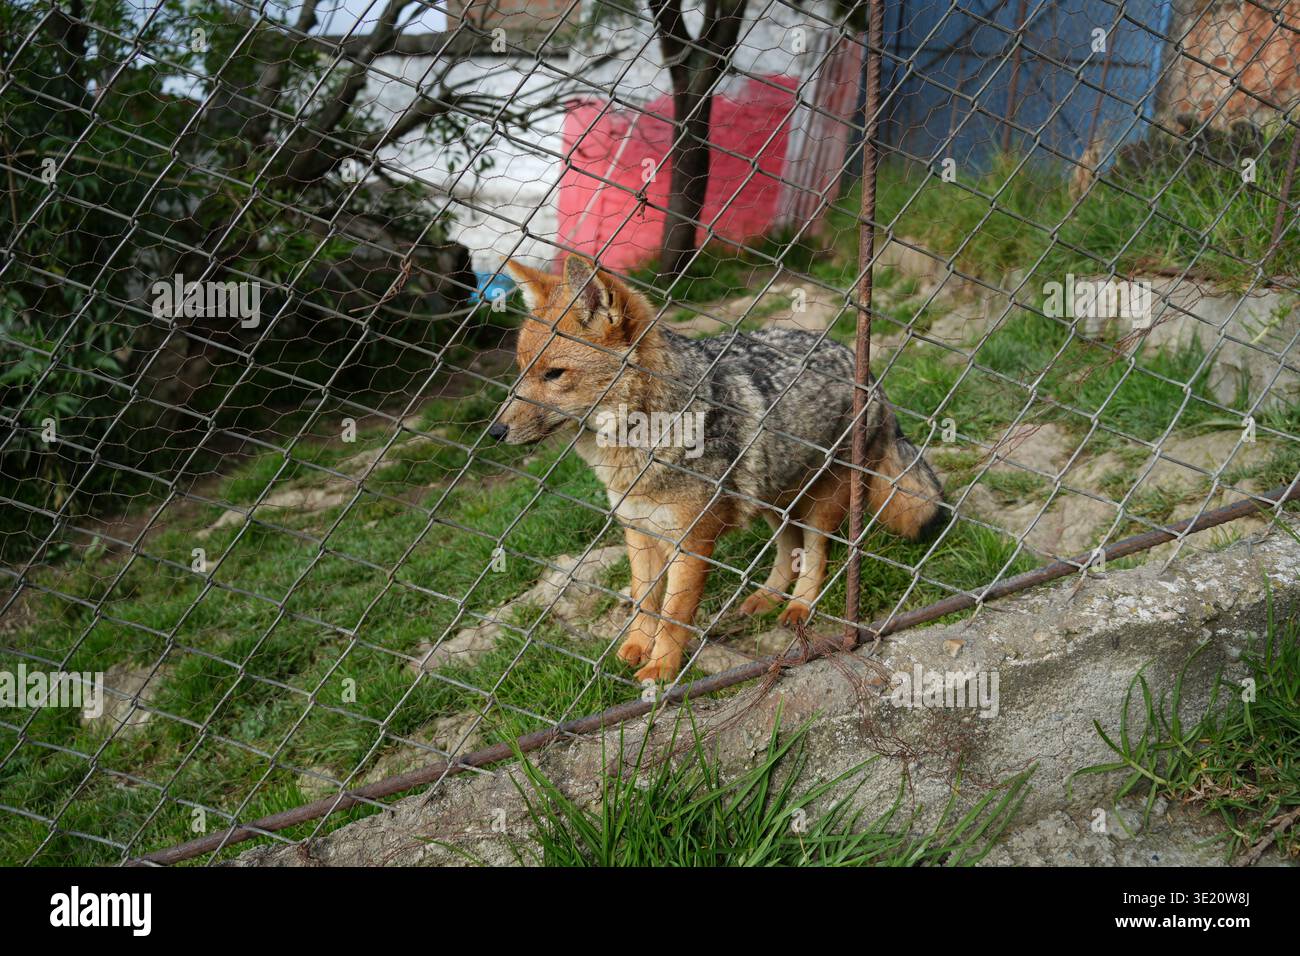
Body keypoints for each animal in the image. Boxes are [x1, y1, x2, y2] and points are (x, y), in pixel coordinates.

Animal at [489, 254, 946, 683]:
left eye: (554, 374)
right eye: (522, 371)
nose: (495, 430)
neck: (636, 453)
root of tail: (862, 364)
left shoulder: (691, 543)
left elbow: (673, 614)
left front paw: (660, 671)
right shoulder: (639, 532)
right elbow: (644, 602)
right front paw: (635, 648)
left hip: (822, 501)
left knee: (817, 552)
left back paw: (799, 606)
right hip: (771, 500)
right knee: (789, 547)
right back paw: (767, 597)